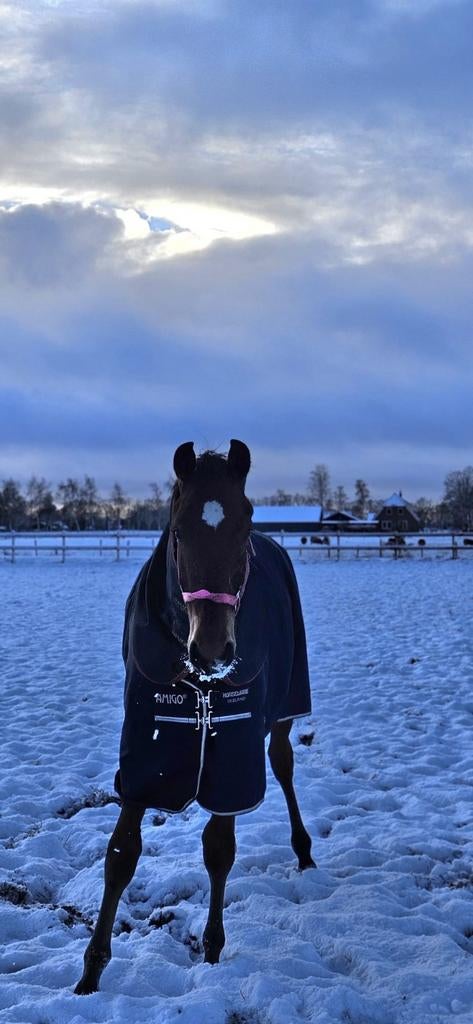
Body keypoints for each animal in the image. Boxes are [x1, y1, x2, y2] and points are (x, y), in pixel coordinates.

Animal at [75, 439, 314, 995]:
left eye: (245, 524)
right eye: (179, 530)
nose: (212, 651)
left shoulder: (232, 756)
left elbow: (219, 849)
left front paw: (212, 950)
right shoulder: (145, 756)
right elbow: (120, 856)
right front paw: (90, 975)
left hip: (286, 710)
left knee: (284, 764)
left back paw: (304, 850)